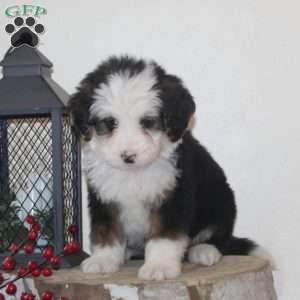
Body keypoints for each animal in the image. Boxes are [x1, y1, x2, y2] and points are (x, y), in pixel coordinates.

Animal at [68, 55, 272, 280]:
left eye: (148, 122)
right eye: (110, 123)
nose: (128, 156)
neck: (135, 173)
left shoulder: (173, 196)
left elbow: (164, 236)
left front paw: (160, 266)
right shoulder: (104, 198)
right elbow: (106, 230)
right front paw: (103, 260)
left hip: (221, 200)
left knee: (219, 236)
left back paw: (204, 251)